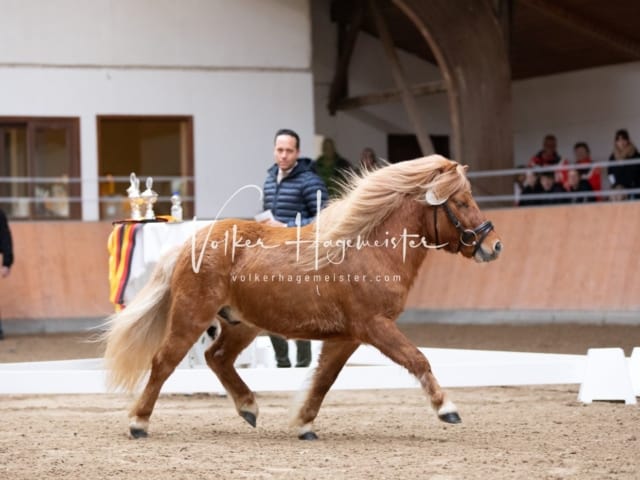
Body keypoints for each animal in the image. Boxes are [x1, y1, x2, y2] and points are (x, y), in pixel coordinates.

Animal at [104, 157, 500, 438]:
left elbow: (324, 379)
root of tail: (189, 243)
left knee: (216, 358)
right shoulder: (374, 326)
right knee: (163, 362)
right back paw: (139, 423)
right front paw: (447, 408)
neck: (367, 248)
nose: (494, 245)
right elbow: (418, 360)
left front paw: (305, 424)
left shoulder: (347, 337)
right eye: (461, 201)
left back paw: (249, 407)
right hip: (192, 316)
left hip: (242, 324)